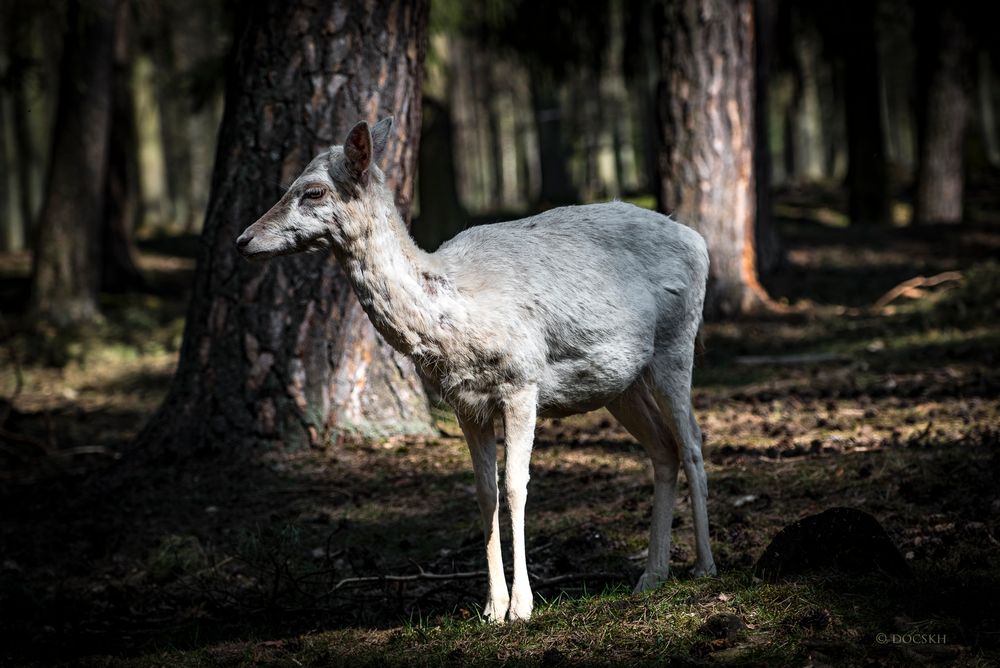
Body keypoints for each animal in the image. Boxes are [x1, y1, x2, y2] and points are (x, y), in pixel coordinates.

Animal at [235, 117, 720, 624]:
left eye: (312, 191)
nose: (243, 240)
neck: (456, 315)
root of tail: (698, 242)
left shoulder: (523, 380)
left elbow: (516, 486)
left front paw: (522, 606)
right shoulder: (464, 402)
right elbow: (486, 491)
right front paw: (491, 606)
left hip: (676, 342)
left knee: (692, 442)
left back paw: (704, 567)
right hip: (622, 383)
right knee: (663, 449)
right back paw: (652, 575)